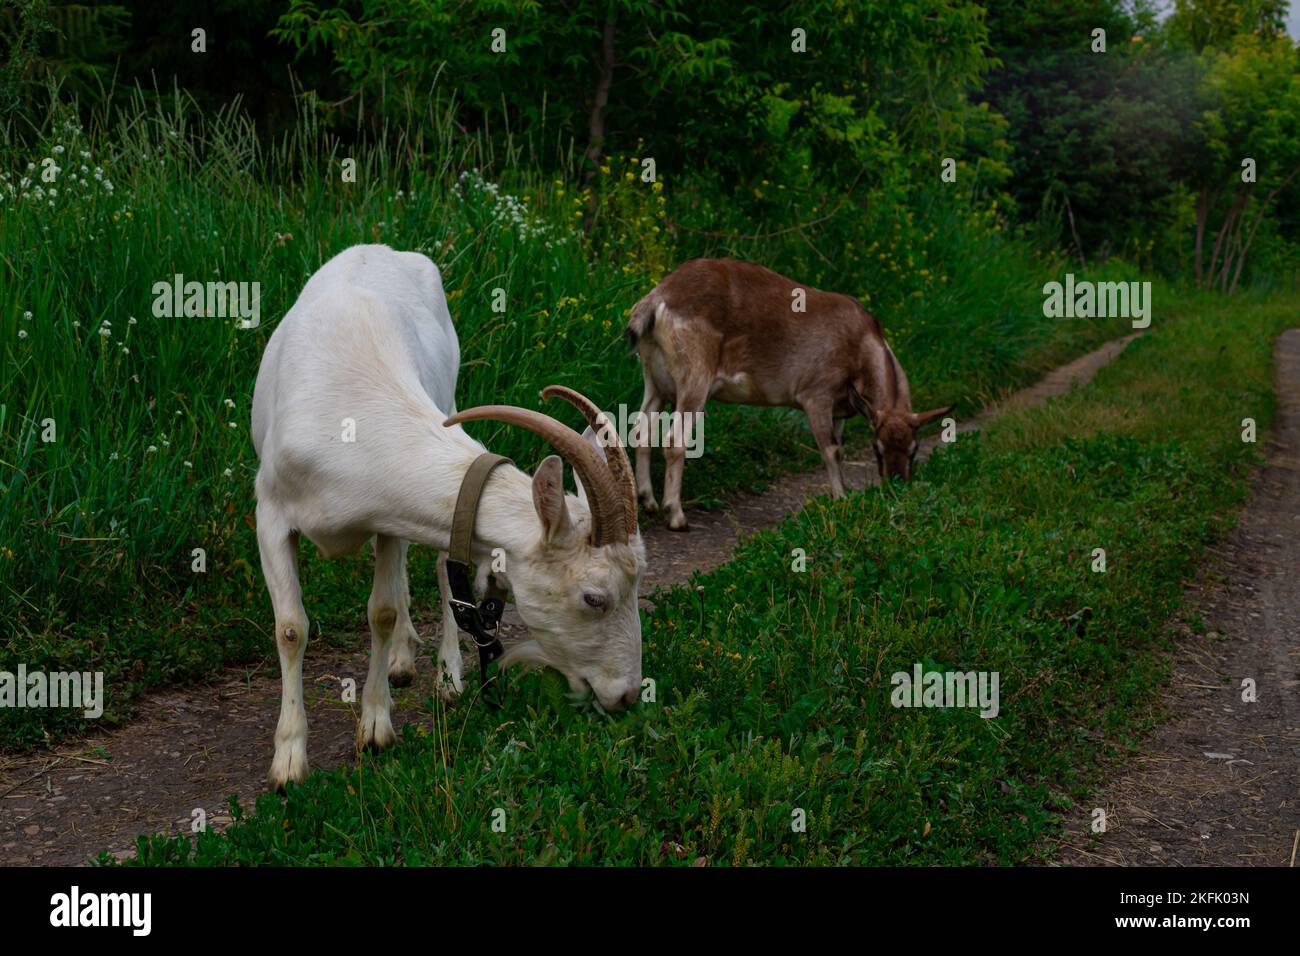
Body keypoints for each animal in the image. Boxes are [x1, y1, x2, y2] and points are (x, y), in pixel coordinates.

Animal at [249, 247, 644, 790]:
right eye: (594, 598)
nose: (627, 694)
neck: (346, 421)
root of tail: (388, 251)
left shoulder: (388, 517)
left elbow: (381, 612)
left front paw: (376, 728)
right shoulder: (271, 512)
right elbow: (291, 628)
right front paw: (289, 760)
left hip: (447, 403)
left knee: (437, 568)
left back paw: (444, 675)